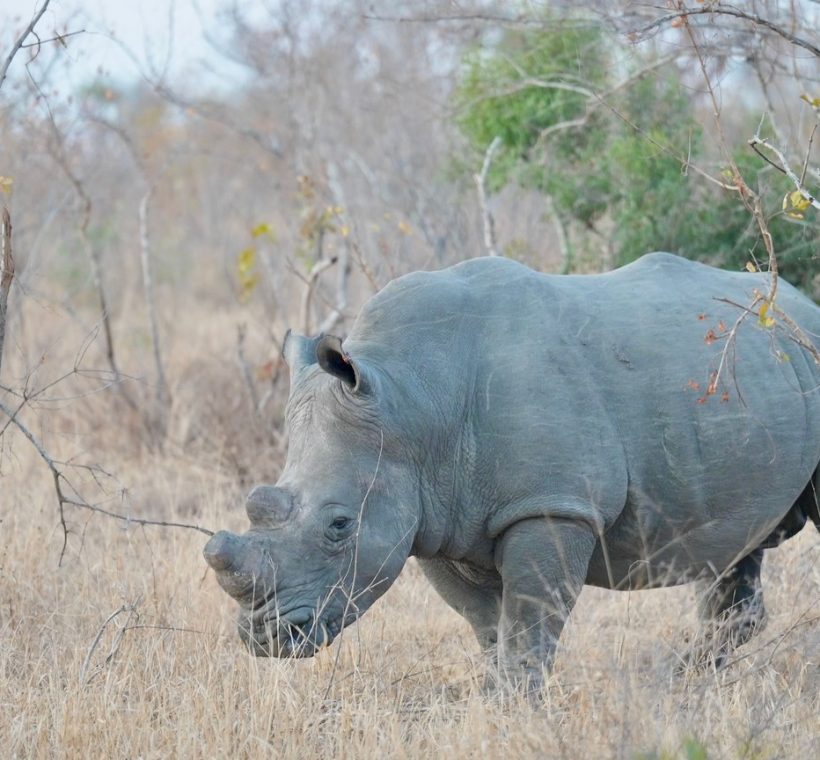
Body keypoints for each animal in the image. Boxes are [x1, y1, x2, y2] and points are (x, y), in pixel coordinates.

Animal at [204, 253, 820, 692]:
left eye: (339, 526)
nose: (267, 637)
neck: (412, 399)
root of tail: (796, 302)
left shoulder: (551, 506)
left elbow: (528, 624)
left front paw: (521, 709)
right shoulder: (437, 517)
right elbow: (489, 627)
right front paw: (495, 700)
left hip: (803, 354)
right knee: (738, 550)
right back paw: (682, 684)